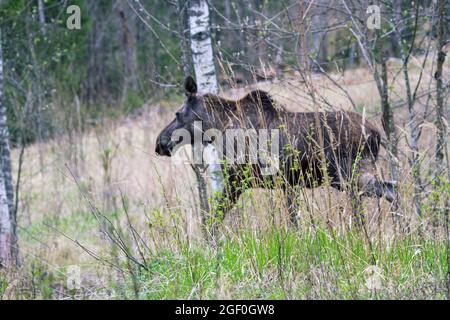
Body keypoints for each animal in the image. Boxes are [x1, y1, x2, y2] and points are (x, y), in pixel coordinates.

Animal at [156, 76, 396, 229]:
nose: (160, 142)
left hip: (351, 174)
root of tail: (377, 133)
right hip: (345, 178)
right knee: (391, 188)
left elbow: (216, 217)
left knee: (388, 191)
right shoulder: (287, 183)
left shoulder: (237, 179)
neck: (218, 128)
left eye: (178, 113)